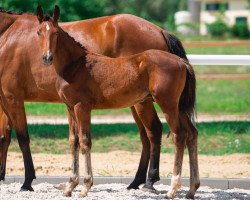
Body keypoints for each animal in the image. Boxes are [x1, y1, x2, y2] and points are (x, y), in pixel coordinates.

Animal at [36, 6, 199, 198]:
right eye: (39, 32)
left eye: (55, 33)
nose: (47, 57)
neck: (75, 65)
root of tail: (181, 62)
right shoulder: (69, 108)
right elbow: (73, 141)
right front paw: (70, 185)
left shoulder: (82, 107)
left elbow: (85, 141)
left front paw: (85, 186)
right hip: (180, 107)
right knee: (192, 134)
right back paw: (192, 189)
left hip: (168, 105)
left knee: (178, 135)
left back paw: (172, 189)